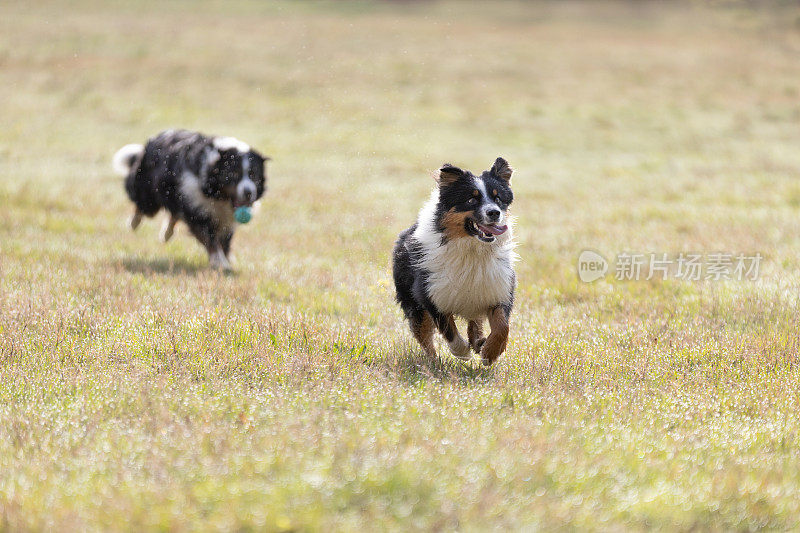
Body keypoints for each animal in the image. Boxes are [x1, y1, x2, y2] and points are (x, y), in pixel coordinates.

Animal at [112, 129, 270, 270]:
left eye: (253, 175)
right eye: (233, 174)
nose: (248, 192)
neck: (217, 196)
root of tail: (153, 140)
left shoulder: (225, 218)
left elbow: (225, 240)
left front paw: (226, 259)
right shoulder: (196, 208)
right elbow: (210, 240)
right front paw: (220, 263)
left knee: (174, 214)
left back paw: (166, 234)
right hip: (150, 195)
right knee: (143, 207)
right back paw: (133, 223)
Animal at [392, 158, 516, 364]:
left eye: (498, 199)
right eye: (471, 199)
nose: (494, 213)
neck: (471, 249)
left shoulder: (497, 288)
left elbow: (502, 326)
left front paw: (490, 353)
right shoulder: (430, 294)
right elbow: (447, 329)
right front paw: (462, 352)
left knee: (475, 320)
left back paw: (478, 341)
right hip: (412, 300)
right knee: (423, 335)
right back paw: (435, 362)